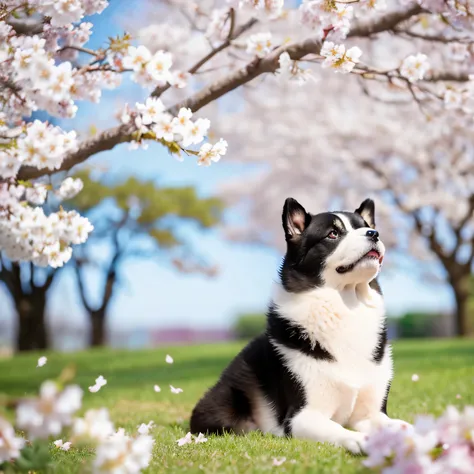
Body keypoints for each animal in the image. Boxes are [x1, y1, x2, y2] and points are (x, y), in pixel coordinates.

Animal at [191, 198, 410, 454]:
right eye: (333, 234)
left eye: (364, 226)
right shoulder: (301, 416)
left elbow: (403, 426)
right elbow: (338, 430)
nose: (374, 233)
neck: (345, 304)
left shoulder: (370, 414)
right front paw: (361, 441)